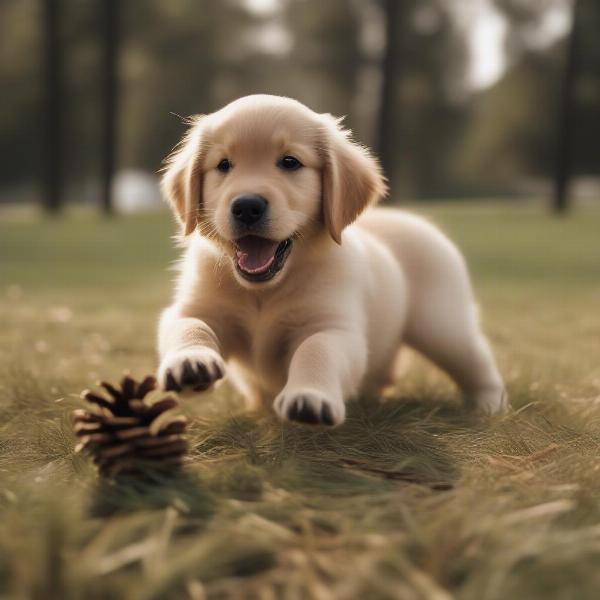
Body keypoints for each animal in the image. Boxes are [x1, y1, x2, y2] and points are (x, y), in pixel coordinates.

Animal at [156, 94, 506, 424]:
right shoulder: (197, 307)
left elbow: (316, 349)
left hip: (442, 326)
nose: (246, 206)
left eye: (290, 162)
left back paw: (490, 406)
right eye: (224, 165)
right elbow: (189, 324)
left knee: (478, 362)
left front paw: (309, 397)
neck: (264, 292)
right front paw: (190, 362)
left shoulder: (334, 326)